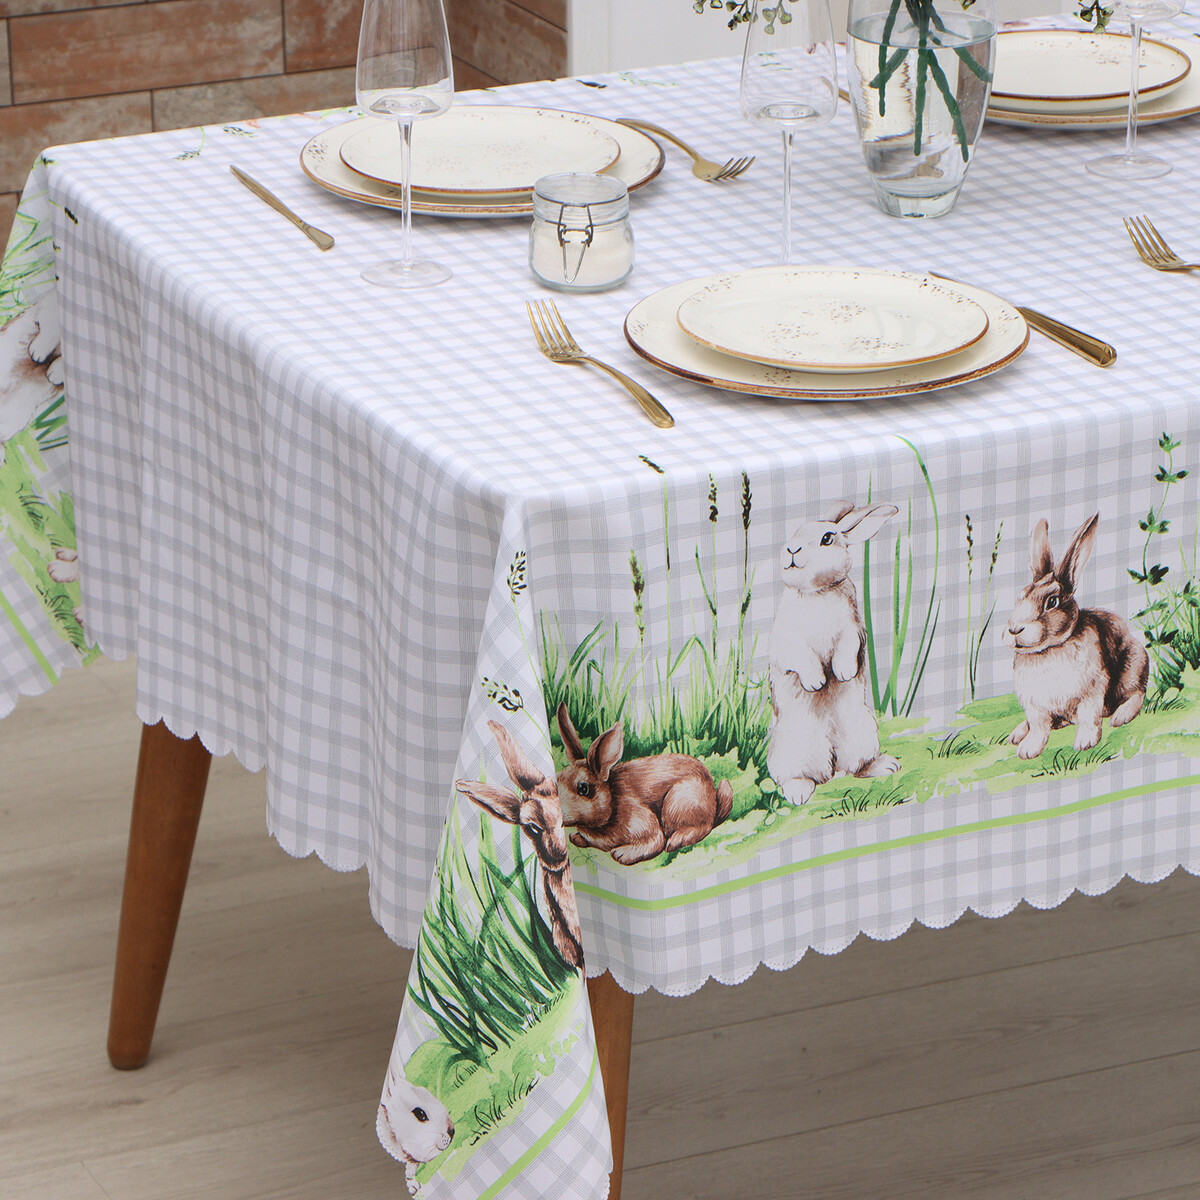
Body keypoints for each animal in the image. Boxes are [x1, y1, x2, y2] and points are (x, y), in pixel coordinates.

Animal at [555, 703, 734, 865]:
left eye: (583, 788)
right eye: (557, 779)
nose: (558, 813)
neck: (612, 802)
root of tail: (713, 799)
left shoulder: (643, 824)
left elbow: (655, 842)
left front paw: (622, 854)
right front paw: (576, 838)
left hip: (679, 802)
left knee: (703, 826)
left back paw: (676, 840)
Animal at [767, 501, 901, 805]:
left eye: (827, 538)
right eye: (795, 532)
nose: (791, 549)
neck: (817, 592)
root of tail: (832, 768)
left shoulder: (853, 630)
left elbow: (846, 647)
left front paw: (843, 673)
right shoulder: (787, 640)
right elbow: (801, 656)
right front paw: (817, 682)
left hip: (862, 735)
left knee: (855, 768)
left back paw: (886, 766)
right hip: (793, 751)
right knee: (797, 777)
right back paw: (799, 794)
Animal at [1005, 514, 1148, 760]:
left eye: (1052, 602)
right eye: (1021, 596)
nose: (1015, 630)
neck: (1050, 649)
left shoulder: (1092, 690)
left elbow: (1088, 717)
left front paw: (1085, 743)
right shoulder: (1035, 706)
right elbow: (1039, 727)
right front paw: (1028, 749)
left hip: (1133, 666)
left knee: (1137, 694)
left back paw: (1120, 717)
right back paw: (1016, 733)